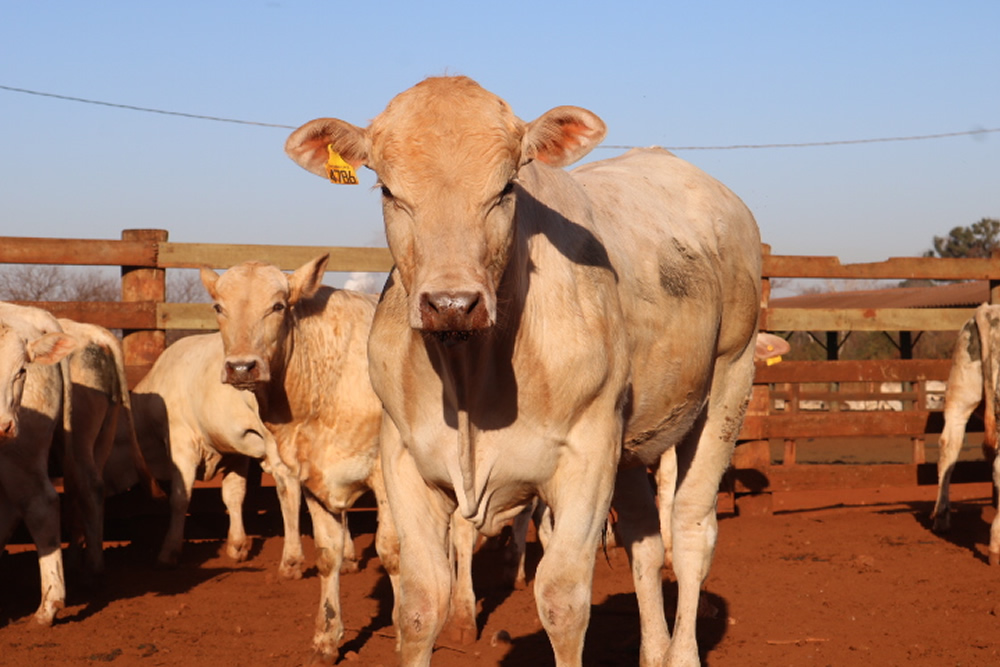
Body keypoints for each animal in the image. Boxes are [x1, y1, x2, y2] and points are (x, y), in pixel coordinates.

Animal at [286, 77, 760, 667]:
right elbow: (419, 604)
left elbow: (562, 602)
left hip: (728, 383)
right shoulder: (402, 458)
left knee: (691, 532)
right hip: (630, 438)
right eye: (388, 191)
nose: (452, 303)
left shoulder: (586, 457)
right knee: (645, 543)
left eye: (506, 187)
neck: (470, 380)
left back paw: (680, 652)